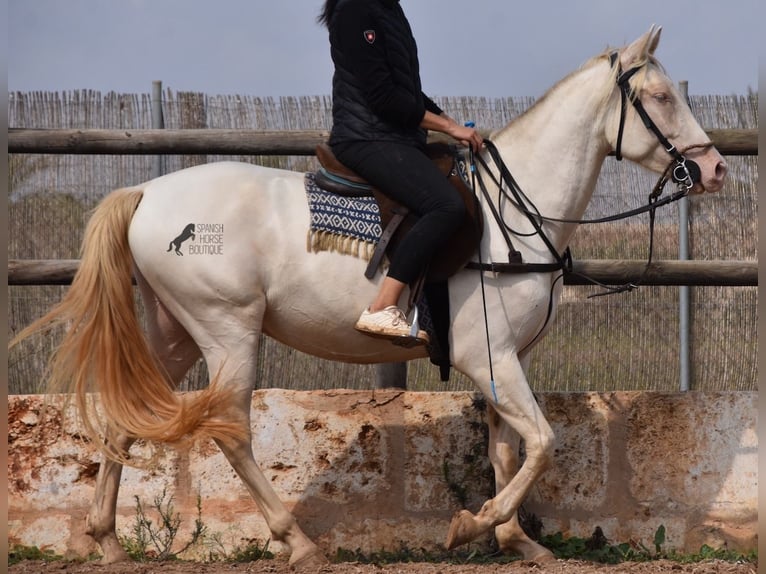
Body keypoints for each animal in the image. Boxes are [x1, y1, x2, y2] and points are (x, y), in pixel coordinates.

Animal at [16, 25, 728, 568]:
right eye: (659, 96)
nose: (714, 168)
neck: (511, 217)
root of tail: (148, 193)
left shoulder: (505, 362)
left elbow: (509, 448)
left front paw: (515, 539)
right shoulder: (486, 357)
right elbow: (544, 442)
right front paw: (473, 525)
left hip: (176, 333)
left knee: (122, 420)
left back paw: (108, 541)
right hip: (227, 332)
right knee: (232, 431)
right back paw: (299, 543)